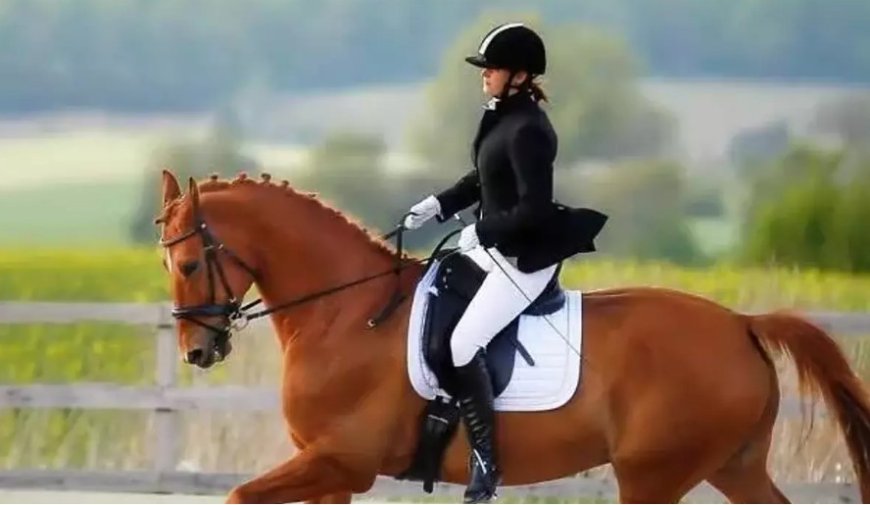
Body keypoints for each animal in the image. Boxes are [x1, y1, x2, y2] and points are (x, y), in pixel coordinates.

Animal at [155, 169, 870, 504]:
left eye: (187, 265)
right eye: (169, 266)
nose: (197, 352)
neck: (348, 313)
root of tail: (742, 323)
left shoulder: (341, 461)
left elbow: (237, 493)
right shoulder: (329, 473)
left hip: (654, 475)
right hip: (733, 465)